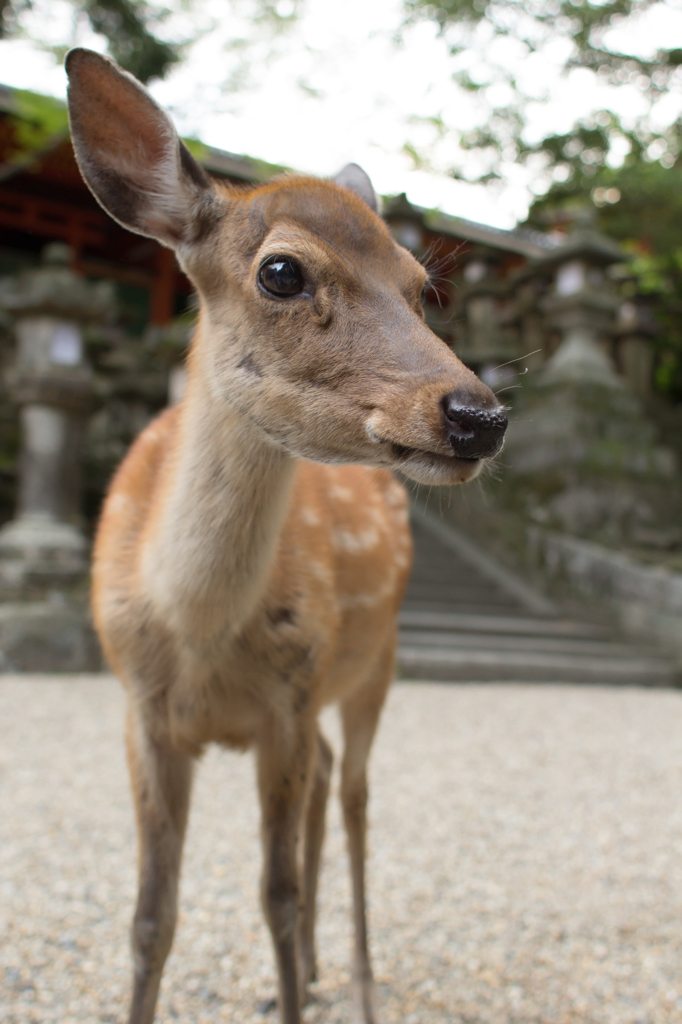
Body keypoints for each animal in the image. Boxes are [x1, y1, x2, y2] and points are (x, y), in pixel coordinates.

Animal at [65, 46, 503, 1024]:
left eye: (421, 288)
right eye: (281, 273)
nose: (478, 414)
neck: (197, 629)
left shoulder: (289, 701)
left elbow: (276, 897)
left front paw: (304, 971)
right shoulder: (141, 710)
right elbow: (150, 919)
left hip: (374, 661)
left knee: (355, 797)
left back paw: (362, 984)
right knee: (330, 787)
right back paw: (307, 974)